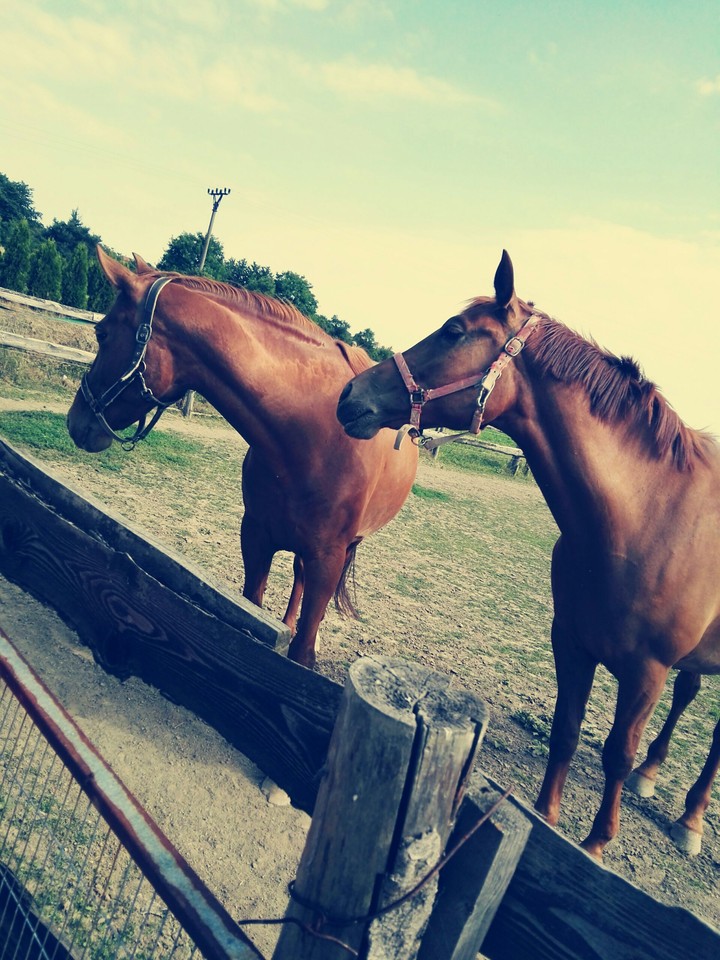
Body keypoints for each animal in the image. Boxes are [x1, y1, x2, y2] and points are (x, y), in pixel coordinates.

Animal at [67, 246, 417, 669]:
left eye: (101, 333)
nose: (76, 420)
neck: (310, 438)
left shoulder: (328, 559)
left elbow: (302, 647)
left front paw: (306, 649)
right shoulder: (255, 537)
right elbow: (255, 610)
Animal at [337, 250, 720, 860]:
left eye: (454, 330)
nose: (351, 395)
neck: (646, 519)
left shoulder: (646, 672)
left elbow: (616, 753)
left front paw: (595, 845)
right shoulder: (572, 642)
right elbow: (566, 730)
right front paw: (547, 819)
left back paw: (691, 820)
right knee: (691, 693)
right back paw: (655, 780)